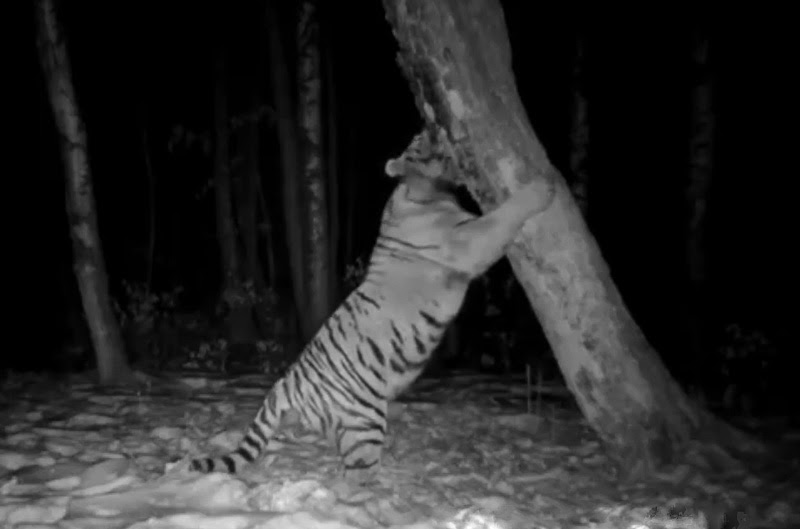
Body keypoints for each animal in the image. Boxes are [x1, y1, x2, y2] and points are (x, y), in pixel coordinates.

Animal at [188, 126, 555, 484]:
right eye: (420, 140)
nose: (434, 126)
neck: (424, 191)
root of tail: (285, 386)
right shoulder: (469, 238)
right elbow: (502, 216)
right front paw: (543, 187)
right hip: (364, 424)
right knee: (354, 478)